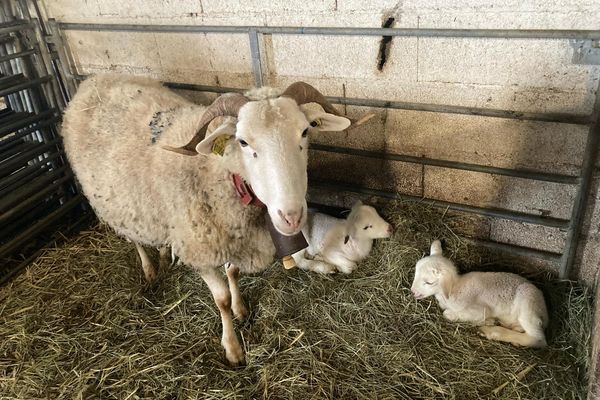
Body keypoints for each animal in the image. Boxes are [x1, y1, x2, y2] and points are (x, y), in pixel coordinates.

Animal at [62, 73, 358, 364]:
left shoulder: (234, 238)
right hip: (119, 203)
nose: (291, 216)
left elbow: (233, 272)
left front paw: (241, 310)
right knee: (133, 238)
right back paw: (149, 269)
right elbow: (221, 299)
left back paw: (163, 255)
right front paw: (233, 348)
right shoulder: (201, 250)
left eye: (305, 131)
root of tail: (93, 79)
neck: (221, 172)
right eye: (243, 141)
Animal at [412, 241, 548, 346]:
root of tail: (545, 312)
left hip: (528, 303)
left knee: (537, 339)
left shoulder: (480, 309)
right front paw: (489, 321)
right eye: (416, 272)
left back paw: (491, 332)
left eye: (429, 282)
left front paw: (486, 322)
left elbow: (448, 314)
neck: (454, 288)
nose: (413, 291)